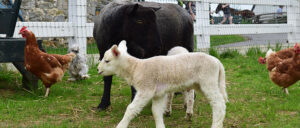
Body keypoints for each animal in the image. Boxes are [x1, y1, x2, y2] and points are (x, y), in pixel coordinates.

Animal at [98, 40, 227, 128]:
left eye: (107, 61)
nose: (98, 69)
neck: (136, 68)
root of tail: (218, 62)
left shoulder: (146, 89)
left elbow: (131, 109)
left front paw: (121, 125)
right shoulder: (158, 93)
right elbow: (156, 112)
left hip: (208, 81)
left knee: (219, 103)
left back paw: (216, 125)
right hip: (201, 84)